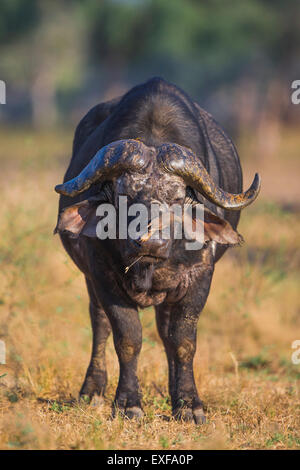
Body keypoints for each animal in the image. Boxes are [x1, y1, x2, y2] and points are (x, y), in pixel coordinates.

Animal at [54, 77, 260, 422]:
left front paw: (189, 405)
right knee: (100, 324)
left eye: (177, 199)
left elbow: (182, 340)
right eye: (123, 193)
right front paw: (128, 403)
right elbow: (128, 338)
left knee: (166, 331)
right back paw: (92, 391)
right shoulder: (101, 273)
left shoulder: (200, 276)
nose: (150, 240)